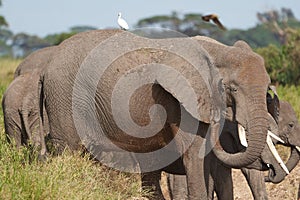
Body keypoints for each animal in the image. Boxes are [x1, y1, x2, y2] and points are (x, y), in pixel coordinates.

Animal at [38, 28, 276, 199]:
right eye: (232, 88)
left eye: (268, 88)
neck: (216, 50)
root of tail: (46, 67)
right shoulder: (180, 99)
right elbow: (194, 152)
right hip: (64, 96)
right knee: (69, 152)